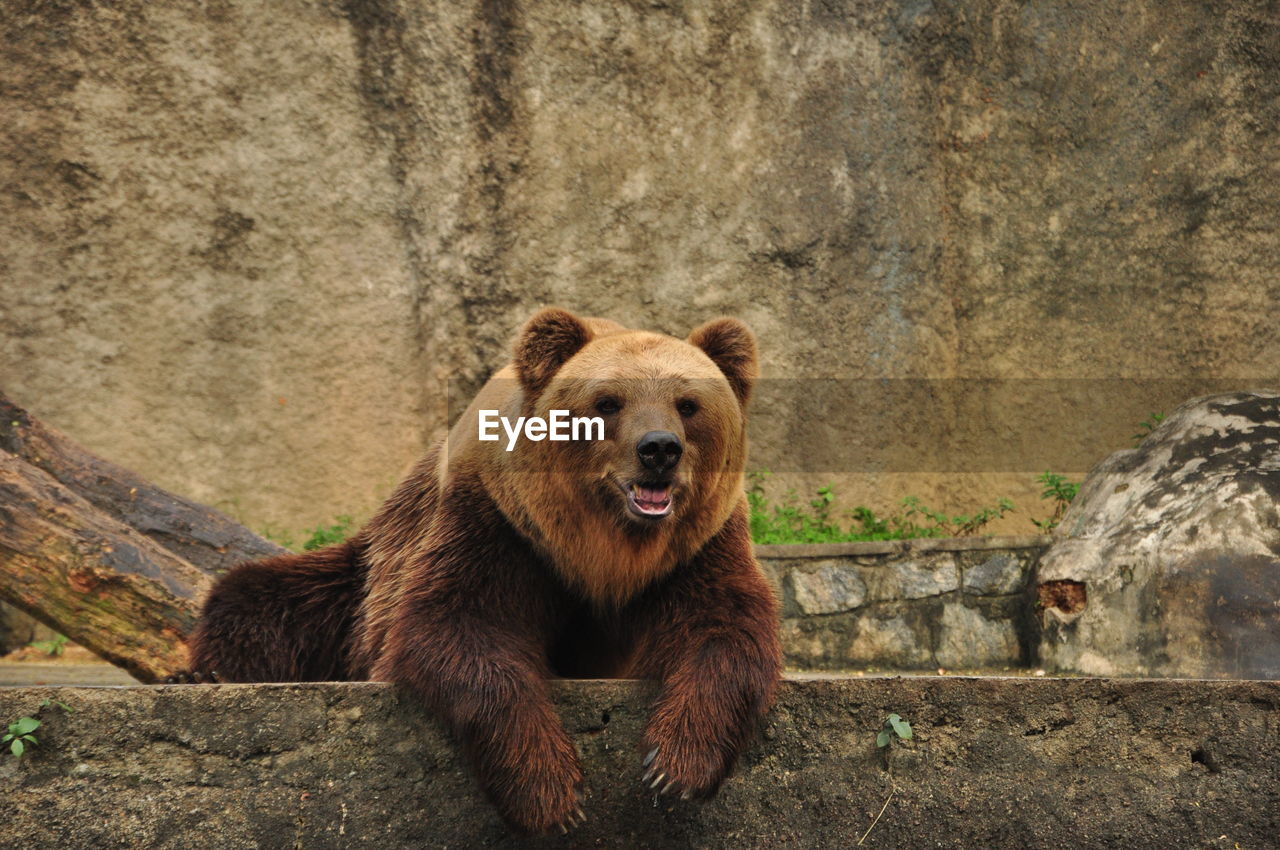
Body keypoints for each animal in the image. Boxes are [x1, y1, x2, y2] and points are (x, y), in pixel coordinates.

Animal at [180, 308, 778, 834]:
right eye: (608, 402)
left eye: (688, 403)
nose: (659, 449)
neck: (604, 548)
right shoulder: (497, 524)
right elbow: (461, 626)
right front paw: (551, 793)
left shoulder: (698, 545)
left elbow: (726, 631)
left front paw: (674, 765)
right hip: (365, 577)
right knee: (257, 598)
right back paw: (207, 671)